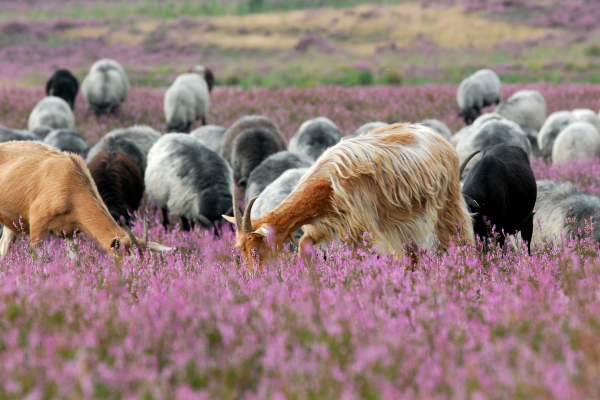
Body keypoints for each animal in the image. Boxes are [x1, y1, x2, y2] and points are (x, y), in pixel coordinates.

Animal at [223, 123, 476, 270]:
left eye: (256, 249)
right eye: (241, 251)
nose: (256, 276)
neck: (327, 184)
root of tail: (438, 138)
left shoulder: (361, 229)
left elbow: (357, 259)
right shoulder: (325, 225)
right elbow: (304, 246)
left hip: (448, 202)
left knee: (460, 237)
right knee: (411, 254)